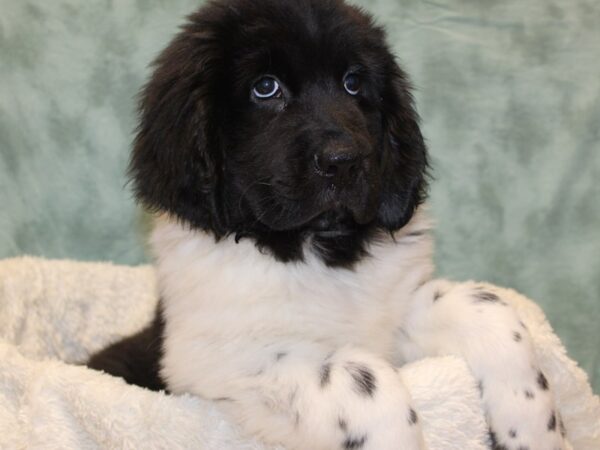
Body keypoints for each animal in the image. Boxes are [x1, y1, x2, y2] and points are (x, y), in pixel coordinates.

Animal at [89, 0, 568, 450]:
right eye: (266, 88)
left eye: (353, 83)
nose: (344, 160)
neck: (313, 249)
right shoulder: (225, 359)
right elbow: (365, 383)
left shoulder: (395, 313)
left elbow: (487, 309)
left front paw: (534, 428)